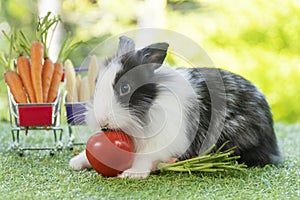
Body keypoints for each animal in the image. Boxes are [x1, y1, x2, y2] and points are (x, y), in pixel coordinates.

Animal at [70, 35, 282, 178]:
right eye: (96, 82)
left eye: (125, 88)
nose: (102, 120)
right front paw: (76, 162)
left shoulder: (163, 143)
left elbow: (145, 157)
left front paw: (133, 173)